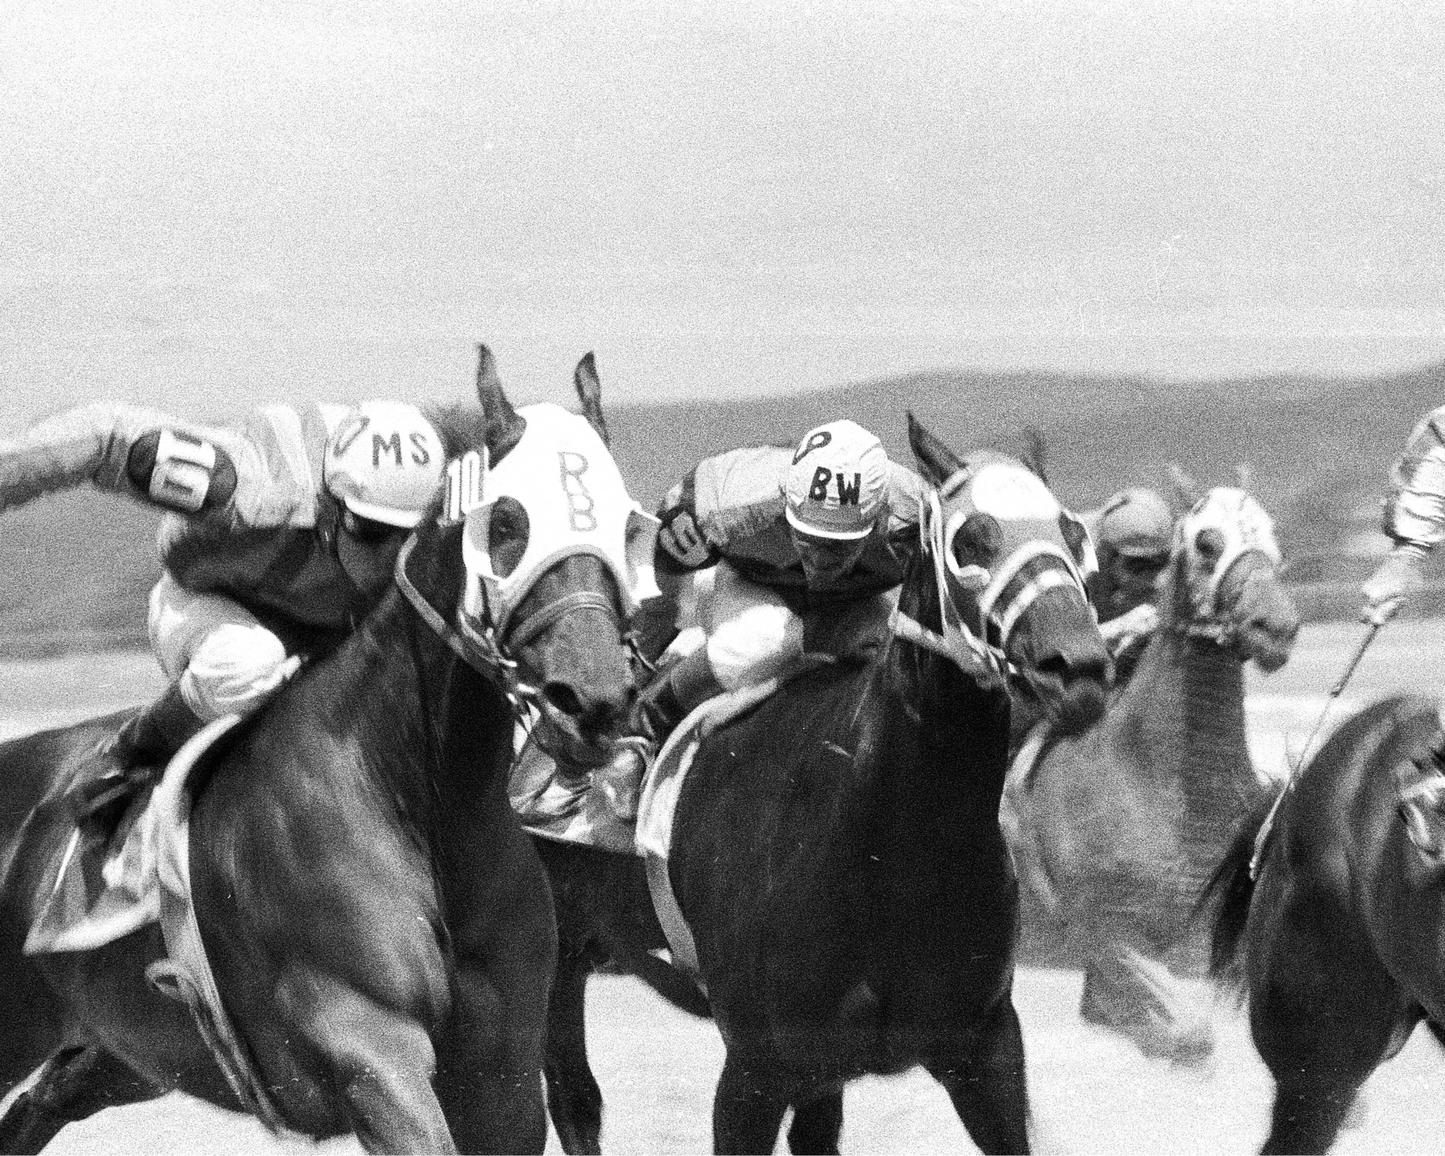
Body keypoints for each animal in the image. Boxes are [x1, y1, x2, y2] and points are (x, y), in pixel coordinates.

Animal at [0, 346, 651, 1153]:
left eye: (626, 524)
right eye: (507, 522)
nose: (592, 698)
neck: (417, 806)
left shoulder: (501, 1078)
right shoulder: (371, 1054)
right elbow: (130, 444)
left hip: (122, 1052)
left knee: (37, 1107)